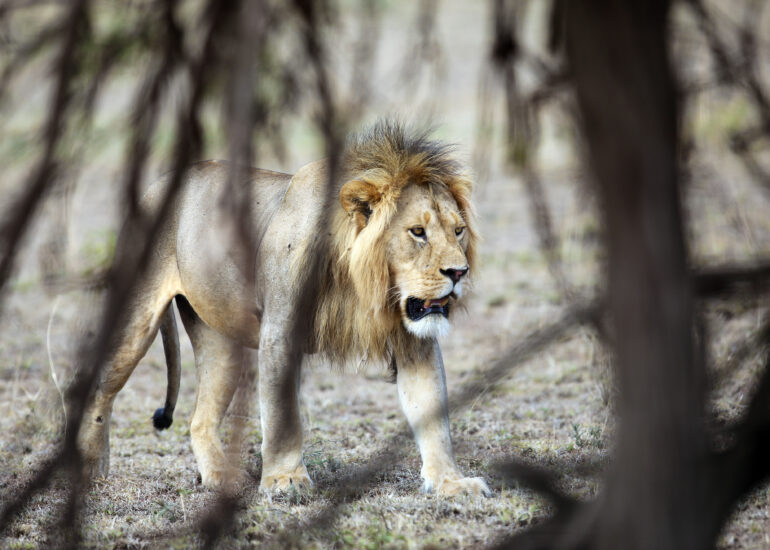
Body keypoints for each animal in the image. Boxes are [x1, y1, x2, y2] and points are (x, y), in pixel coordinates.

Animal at [76, 121, 490, 497]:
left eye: (458, 231)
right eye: (417, 232)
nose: (459, 272)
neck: (362, 284)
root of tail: (157, 186)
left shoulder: (414, 340)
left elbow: (432, 413)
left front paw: (451, 482)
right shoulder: (280, 333)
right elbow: (282, 415)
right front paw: (284, 479)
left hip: (221, 342)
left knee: (199, 419)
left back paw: (221, 479)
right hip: (136, 320)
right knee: (98, 389)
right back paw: (90, 471)